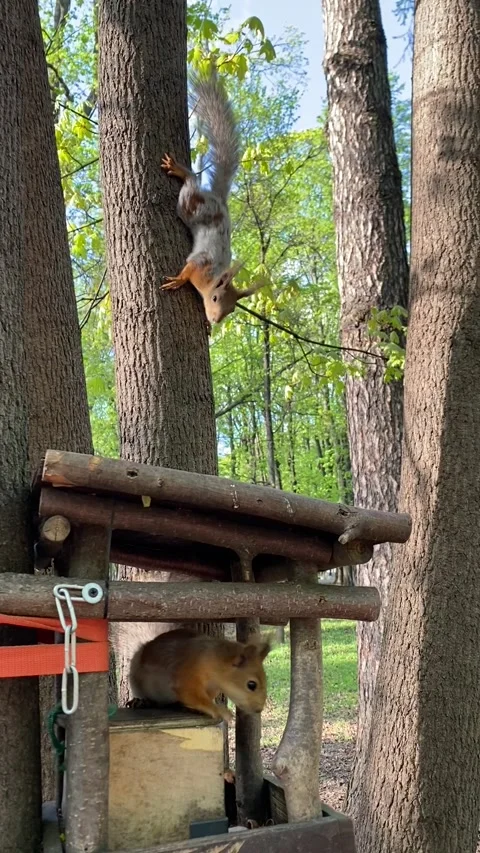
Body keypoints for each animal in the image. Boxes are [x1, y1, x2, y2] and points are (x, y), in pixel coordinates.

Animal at [129, 627, 271, 723]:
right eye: (251, 685)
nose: (258, 709)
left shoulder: (213, 688)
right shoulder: (187, 673)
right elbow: (193, 696)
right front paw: (220, 711)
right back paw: (142, 701)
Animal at [160, 69, 264, 330]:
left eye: (231, 310)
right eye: (215, 298)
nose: (216, 320)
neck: (211, 279)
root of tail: (218, 200)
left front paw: (206, 326)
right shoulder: (200, 264)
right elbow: (187, 269)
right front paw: (177, 280)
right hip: (190, 206)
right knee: (190, 185)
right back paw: (181, 171)